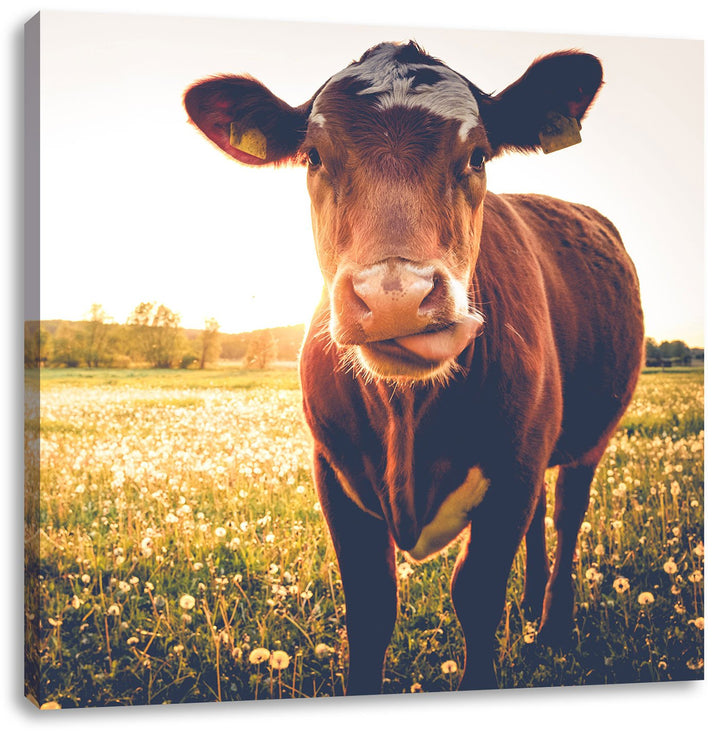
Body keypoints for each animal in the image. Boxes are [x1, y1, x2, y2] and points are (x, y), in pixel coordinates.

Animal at [184, 41, 644, 695]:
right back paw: (530, 608)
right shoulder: (335, 473)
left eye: (477, 155)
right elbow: (371, 608)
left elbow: (476, 595)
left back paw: (552, 625)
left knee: (566, 516)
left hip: (587, 438)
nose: (395, 297)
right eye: (314, 156)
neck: (407, 416)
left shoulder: (513, 470)